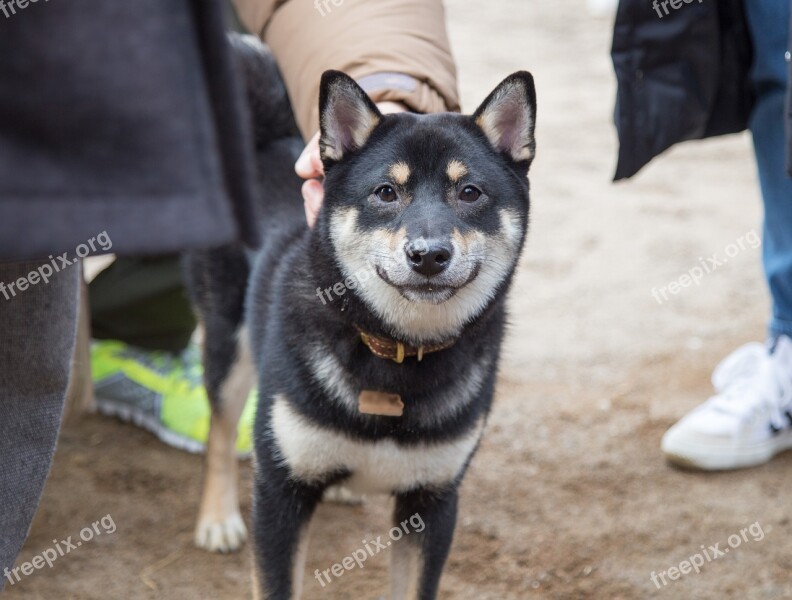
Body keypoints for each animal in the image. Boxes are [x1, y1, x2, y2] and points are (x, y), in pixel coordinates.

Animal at [188, 36, 540, 600]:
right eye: (385, 192)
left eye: (470, 192)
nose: (428, 255)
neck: (396, 352)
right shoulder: (280, 492)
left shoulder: (431, 502)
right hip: (229, 337)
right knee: (220, 430)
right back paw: (217, 518)